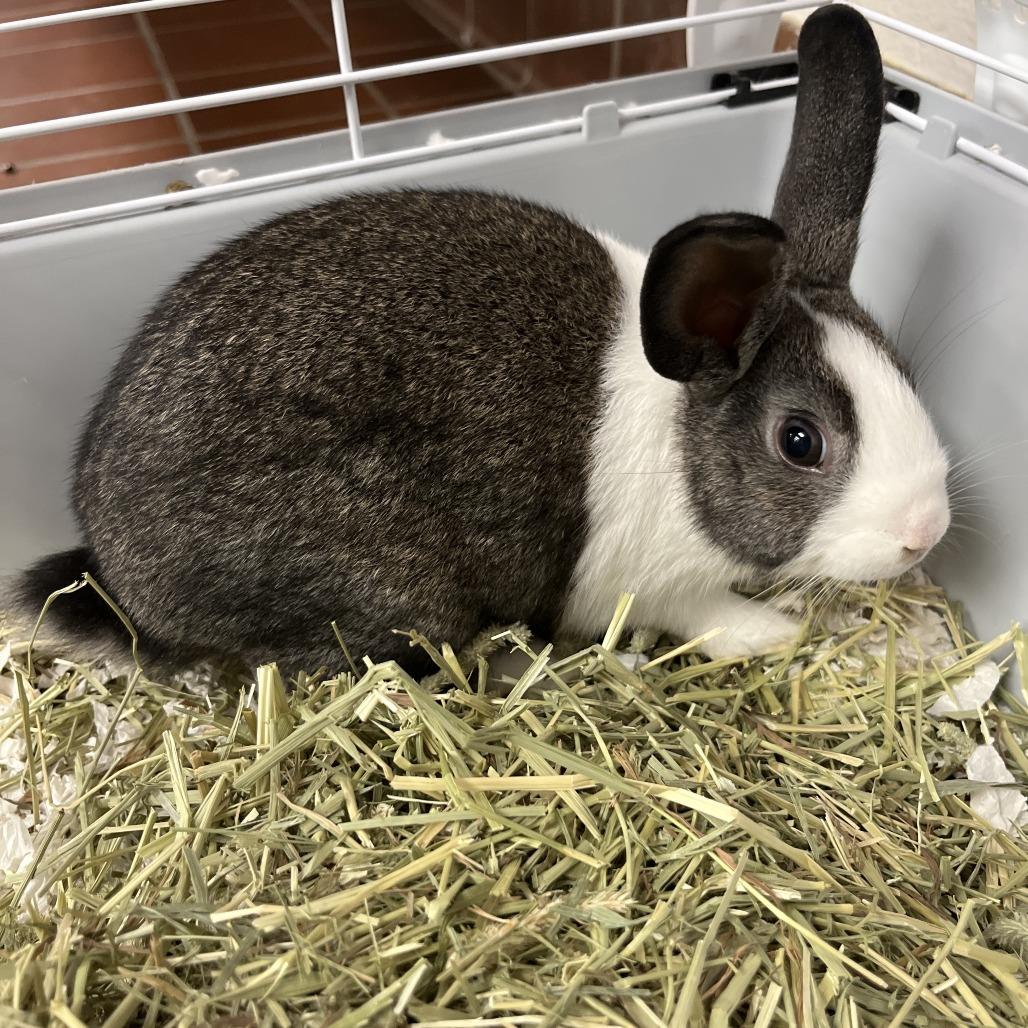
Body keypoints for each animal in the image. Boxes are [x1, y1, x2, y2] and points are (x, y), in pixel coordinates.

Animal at [10, 5, 950, 678]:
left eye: (905, 373)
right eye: (800, 441)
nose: (926, 533)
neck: (684, 445)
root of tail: (120, 577)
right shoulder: (643, 586)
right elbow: (705, 614)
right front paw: (773, 632)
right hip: (382, 588)